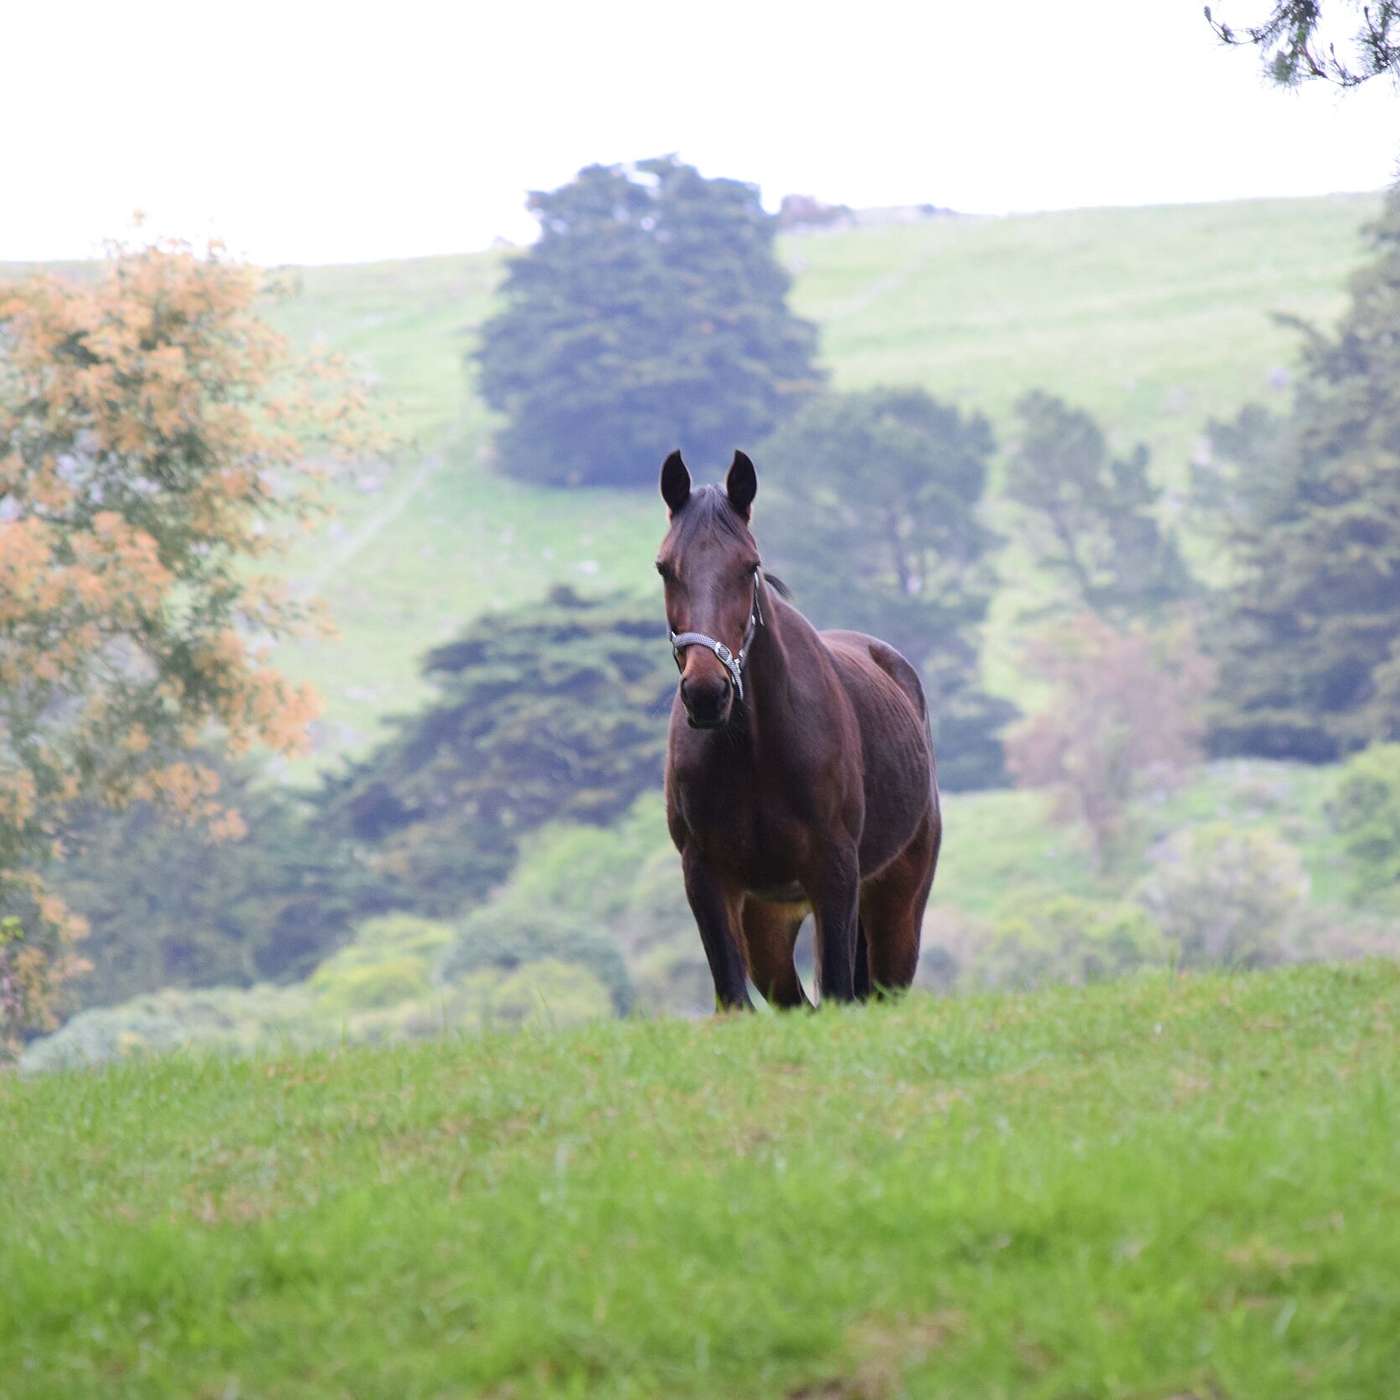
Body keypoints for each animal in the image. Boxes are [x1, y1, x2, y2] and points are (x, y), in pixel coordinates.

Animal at [655, 448, 940, 1008]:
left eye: (750, 566)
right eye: (664, 567)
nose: (707, 692)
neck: (753, 752)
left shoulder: (835, 873)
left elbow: (838, 991)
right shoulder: (706, 875)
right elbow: (734, 998)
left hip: (898, 903)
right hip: (769, 920)